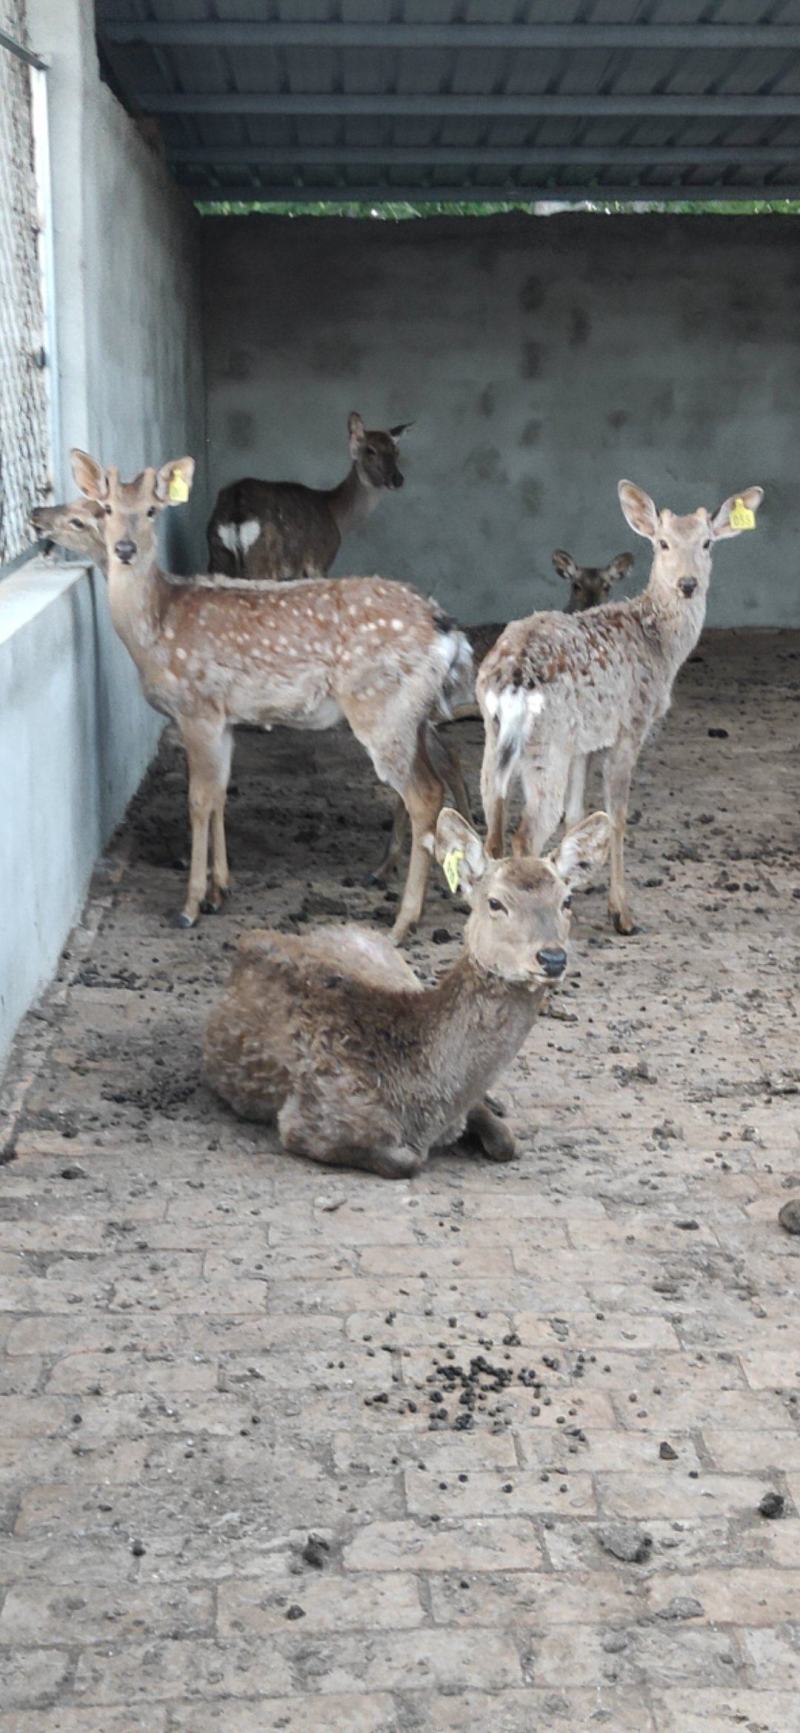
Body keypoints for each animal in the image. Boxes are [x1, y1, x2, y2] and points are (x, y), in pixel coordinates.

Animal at [67, 449, 473, 943]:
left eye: (151, 510)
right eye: (105, 509)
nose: (124, 549)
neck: (155, 631)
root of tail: (446, 629)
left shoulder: (196, 708)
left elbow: (197, 800)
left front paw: (189, 906)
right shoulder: (223, 718)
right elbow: (219, 793)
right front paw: (219, 892)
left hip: (381, 707)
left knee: (425, 794)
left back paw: (401, 921)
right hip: (410, 714)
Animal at [204, 806, 611, 1179]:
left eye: (567, 900)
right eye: (495, 902)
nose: (552, 958)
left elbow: (505, 1141)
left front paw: (492, 1111)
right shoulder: (311, 1121)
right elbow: (406, 1161)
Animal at [206, 411, 411, 580]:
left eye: (396, 451)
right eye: (370, 450)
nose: (397, 479)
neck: (337, 516)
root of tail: (237, 514)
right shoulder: (319, 562)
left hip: (217, 558)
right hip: (262, 562)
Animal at [478, 480, 763, 936]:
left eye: (707, 543)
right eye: (662, 543)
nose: (687, 583)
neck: (660, 645)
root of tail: (511, 678)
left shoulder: (586, 741)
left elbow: (577, 813)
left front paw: (576, 887)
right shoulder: (631, 725)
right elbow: (617, 815)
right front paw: (621, 913)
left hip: (496, 736)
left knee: (492, 815)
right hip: (546, 746)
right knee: (525, 833)